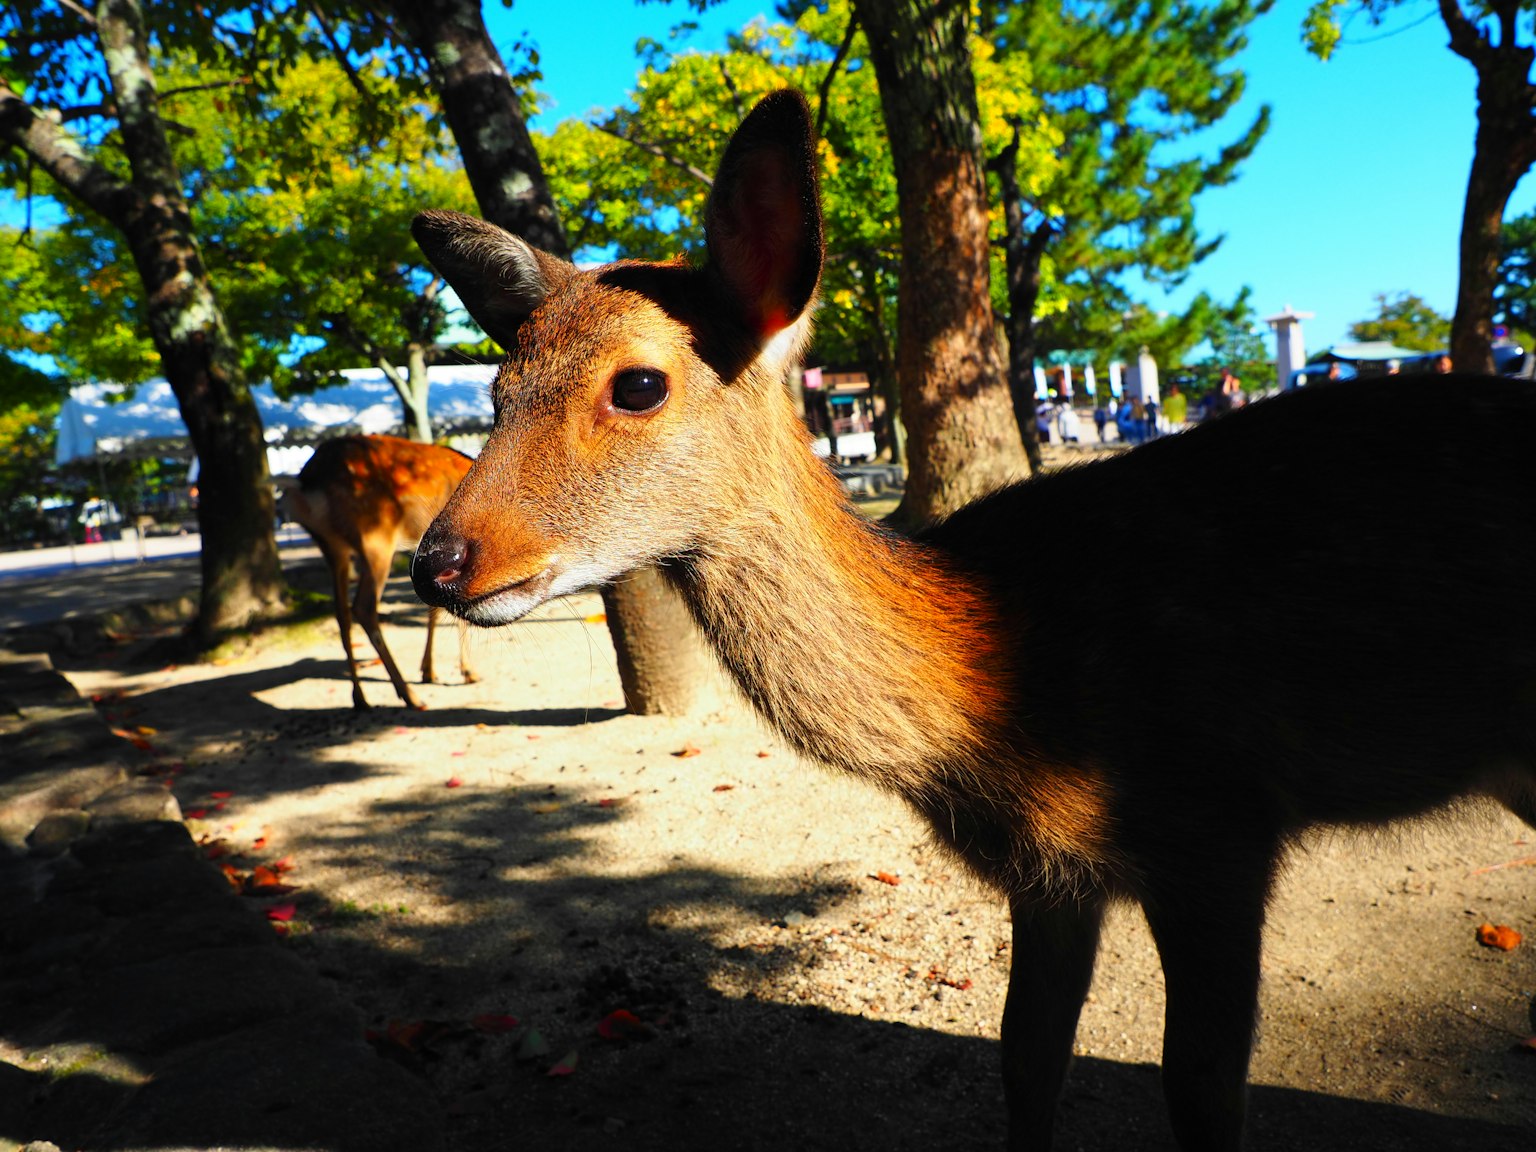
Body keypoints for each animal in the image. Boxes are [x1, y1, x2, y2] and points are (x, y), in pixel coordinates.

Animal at [283, 433, 477, 710]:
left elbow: (434, 607)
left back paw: (360, 698)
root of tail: (307, 482)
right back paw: (409, 695)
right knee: (363, 607)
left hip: (332, 548)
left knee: (341, 613)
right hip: (376, 538)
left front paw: (428, 670)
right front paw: (467, 672)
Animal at [406, 91, 1536, 1150]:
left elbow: (1202, 1086)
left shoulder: (1219, 825)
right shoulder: (1054, 876)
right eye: (496, 391)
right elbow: (1025, 1056)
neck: (1001, 686)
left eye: (639, 384)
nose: (438, 560)